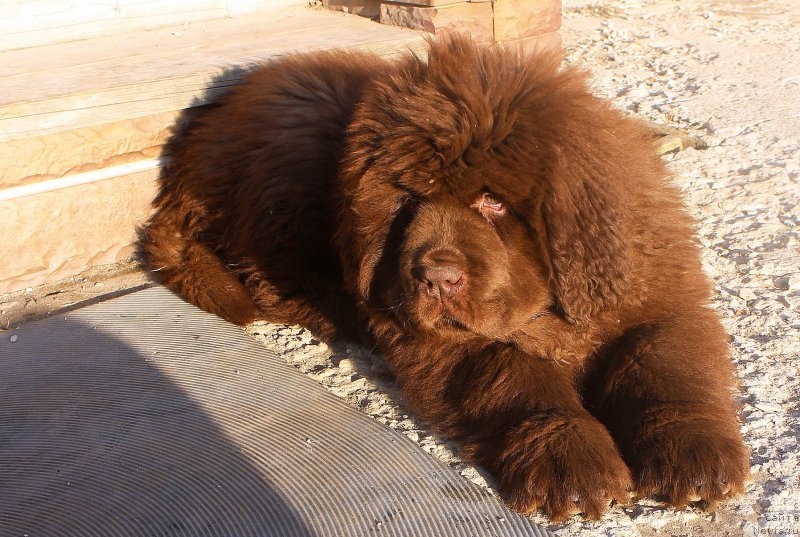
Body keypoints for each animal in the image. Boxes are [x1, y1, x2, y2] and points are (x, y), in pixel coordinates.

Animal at [139, 36, 752, 520]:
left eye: (492, 202)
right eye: (410, 198)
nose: (434, 277)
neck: (549, 310)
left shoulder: (658, 302)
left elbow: (664, 367)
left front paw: (696, 456)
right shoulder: (445, 342)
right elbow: (515, 376)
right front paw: (573, 464)